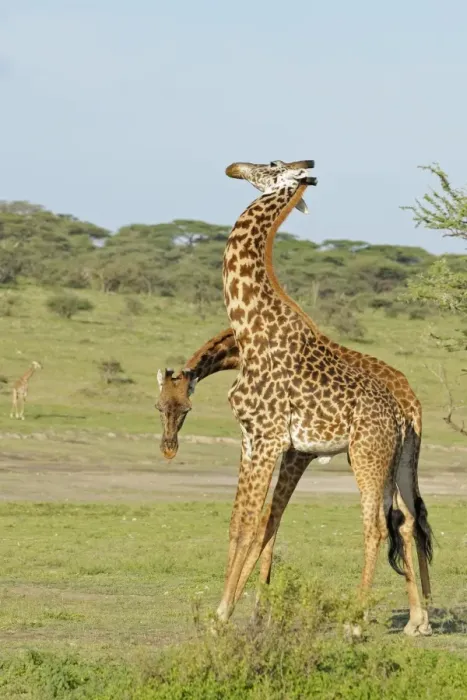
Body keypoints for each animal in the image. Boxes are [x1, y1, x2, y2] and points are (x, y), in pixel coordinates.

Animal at [213, 158, 432, 635]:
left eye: (270, 164)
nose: (234, 167)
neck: (250, 326)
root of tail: (404, 412)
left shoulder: (270, 439)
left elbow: (253, 525)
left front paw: (224, 615)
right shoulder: (251, 439)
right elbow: (242, 523)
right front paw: (227, 612)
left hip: (367, 455)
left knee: (377, 527)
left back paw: (357, 622)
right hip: (395, 459)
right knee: (407, 520)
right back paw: (416, 620)